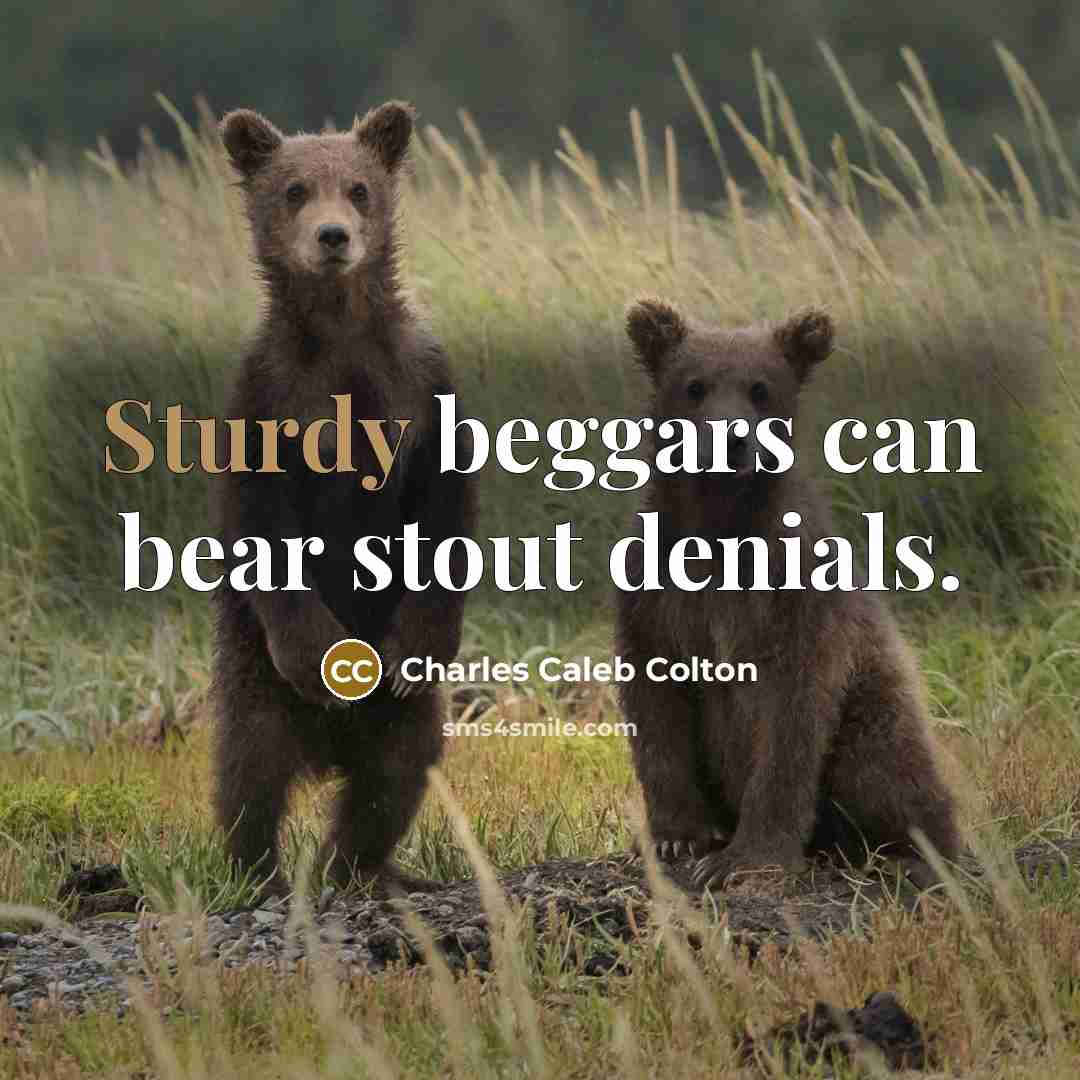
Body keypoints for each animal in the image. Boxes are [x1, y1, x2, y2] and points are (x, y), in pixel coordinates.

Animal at [211, 102, 476, 894]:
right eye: (294, 189)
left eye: (358, 188)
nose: (333, 236)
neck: (338, 336)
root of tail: (328, 747)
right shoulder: (267, 397)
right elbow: (264, 531)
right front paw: (318, 651)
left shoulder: (420, 384)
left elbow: (443, 512)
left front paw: (417, 641)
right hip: (255, 677)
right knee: (250, 770)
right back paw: (256, 874)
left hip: (401, 719)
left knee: (395, 771)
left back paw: (362, 869)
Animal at [616, 298, 961, 890]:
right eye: (694, 386)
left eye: (760, 388)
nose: (731, 439)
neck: (720, 523)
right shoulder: (653, 592)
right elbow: (656, 707)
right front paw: (679, 837)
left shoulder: (795, 594)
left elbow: (790, 719)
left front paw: (744, 858)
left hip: (875, 699)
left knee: (887, 763)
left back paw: (910, 852)